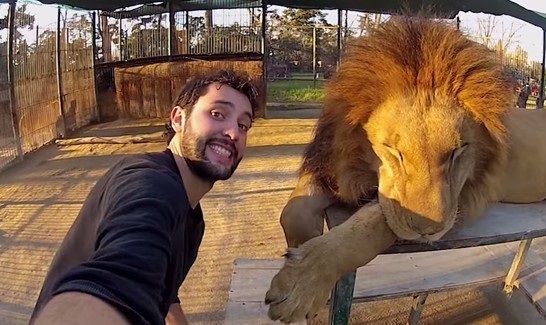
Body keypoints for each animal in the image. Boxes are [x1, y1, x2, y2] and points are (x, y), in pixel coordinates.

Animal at [262, 15, 544, 322]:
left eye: (456, 152)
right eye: (393, 150)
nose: (428, 232)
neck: (359, 169)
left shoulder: (464, 198)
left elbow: (372, 222)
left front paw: (302, 284)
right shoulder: (329, 167)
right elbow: (292, 212)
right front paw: (296, 252)